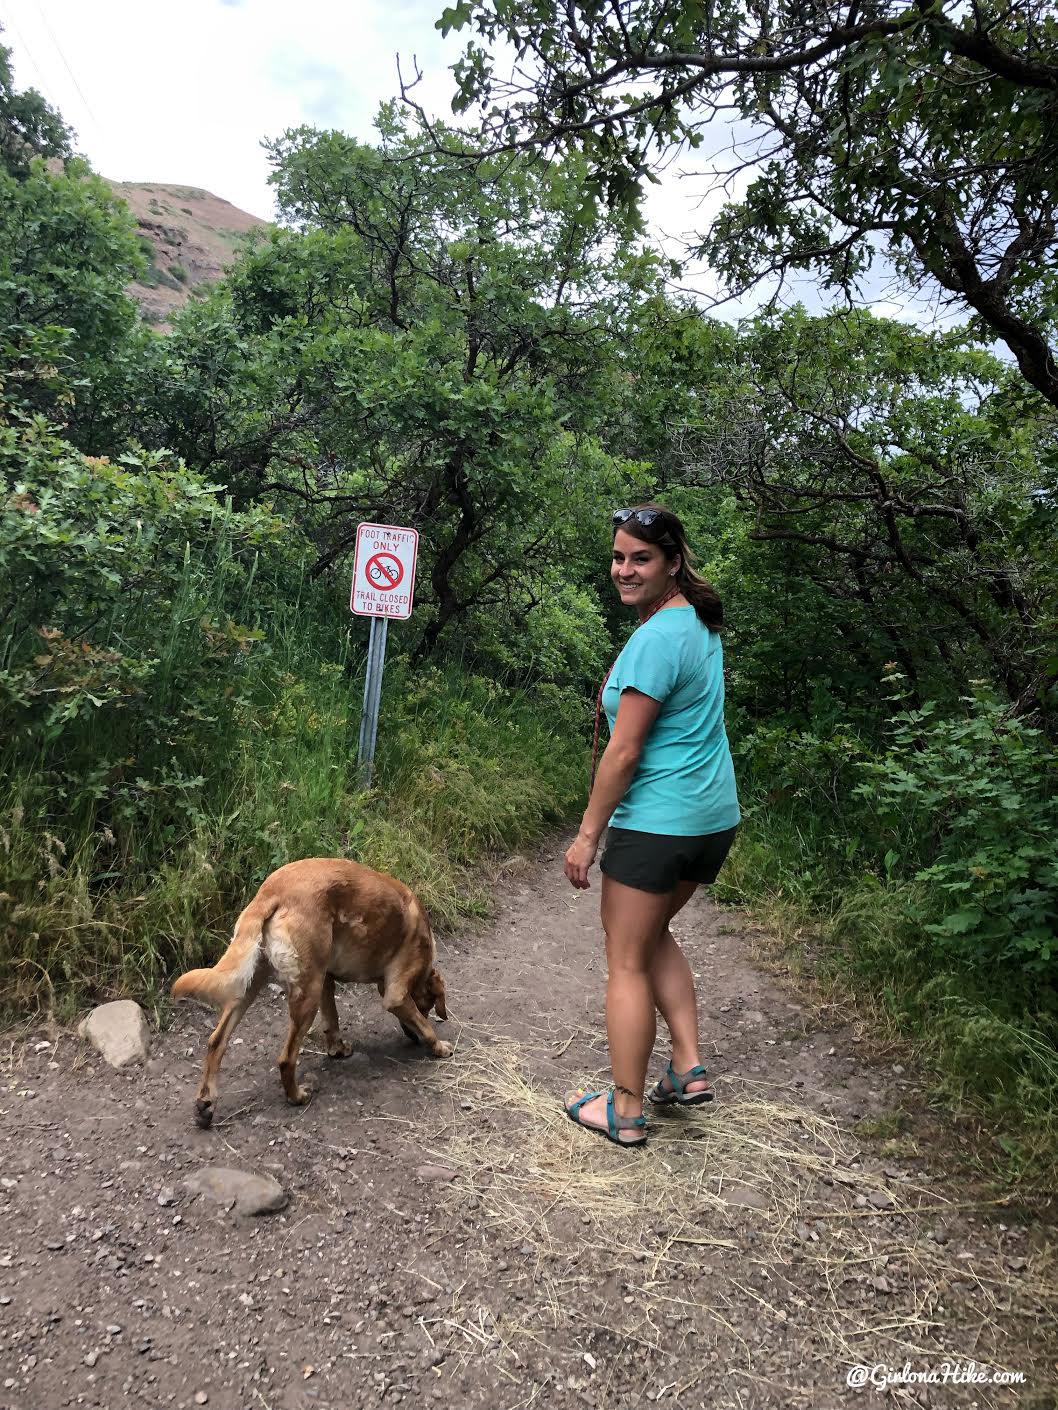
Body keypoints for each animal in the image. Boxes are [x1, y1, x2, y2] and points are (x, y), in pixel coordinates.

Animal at [170, 851, 451, 1128]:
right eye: (426, 1007)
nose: (412, 1039)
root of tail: (271, 893)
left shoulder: (326, 979)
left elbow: (333, 1020)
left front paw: (337, 1049)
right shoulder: (396, 996)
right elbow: (425, 1026)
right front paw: (438, 1046)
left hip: (252, 987)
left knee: (216, 1041)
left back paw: (206, 1103)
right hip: (306, 997)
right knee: (286, 1058)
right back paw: (296, 1096)